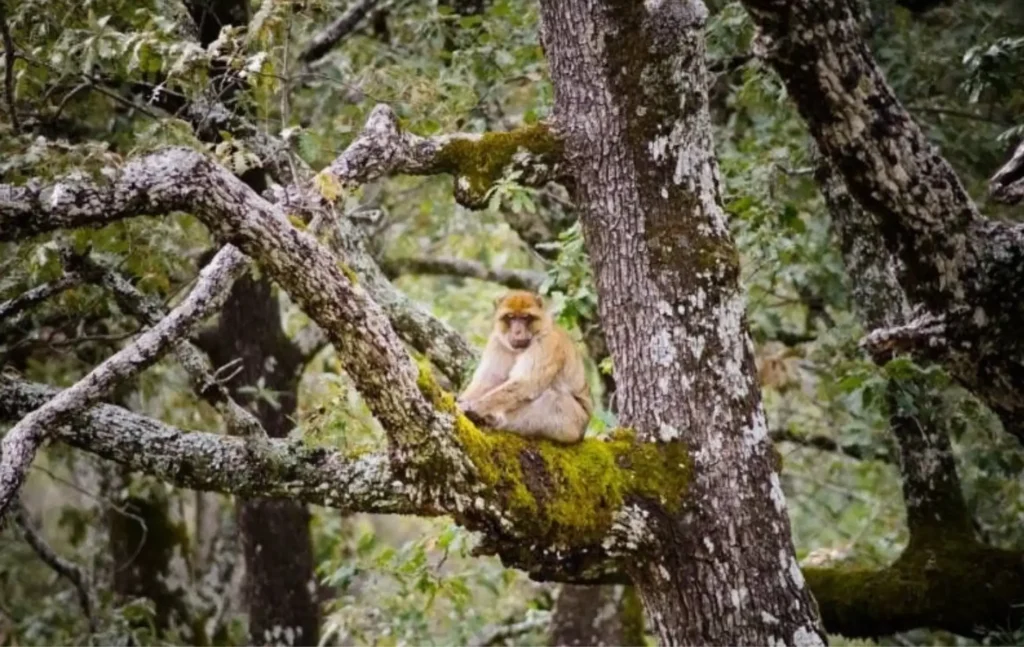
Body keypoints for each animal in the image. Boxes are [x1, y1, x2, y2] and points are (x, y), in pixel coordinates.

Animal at [457, 290, 593, 444]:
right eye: (510, 317)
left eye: (525, 317)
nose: (517, 331)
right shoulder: (497, 342)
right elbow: (487, 381)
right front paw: (462, 401)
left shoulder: (546, 342)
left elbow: (527, 382)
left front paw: (473, 407)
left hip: (572, 423)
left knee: (552, 398)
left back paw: (495, 420)